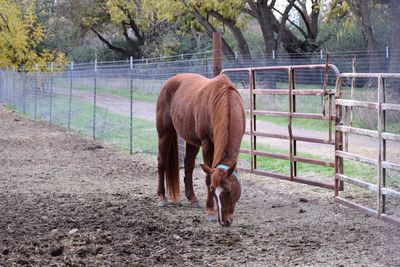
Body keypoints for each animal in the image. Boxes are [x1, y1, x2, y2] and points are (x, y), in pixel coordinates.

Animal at [157, 74, 245, 228]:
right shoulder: (207, 143)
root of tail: (169, 82)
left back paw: (192, 198)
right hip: (164, 133)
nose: (224, 221)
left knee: (188, 165)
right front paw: (210, 211)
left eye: (228, 191)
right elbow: (208, 178)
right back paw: (162, 198)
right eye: (212, 191)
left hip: (191, 141)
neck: (226, 99)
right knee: (161, 162)